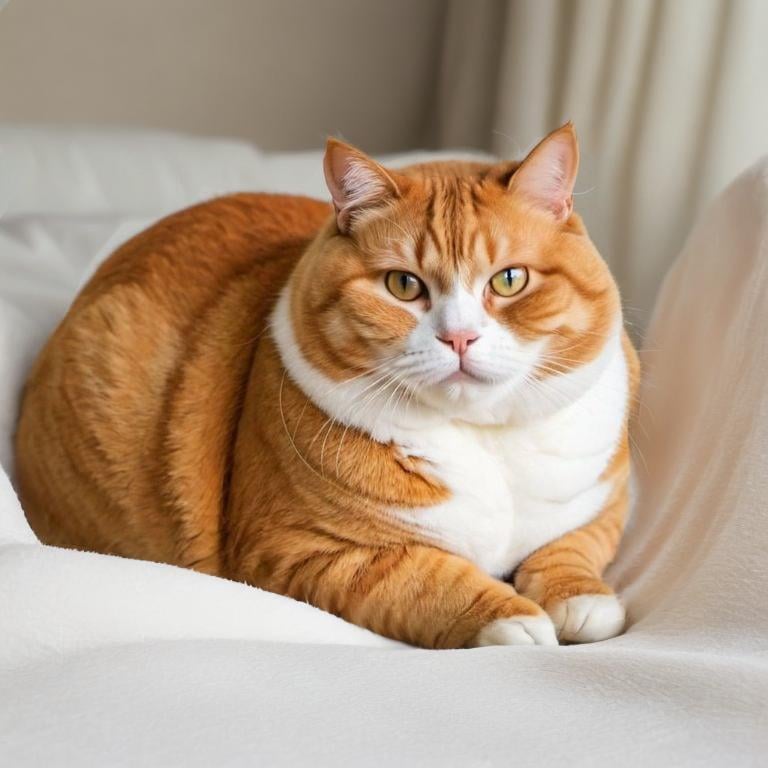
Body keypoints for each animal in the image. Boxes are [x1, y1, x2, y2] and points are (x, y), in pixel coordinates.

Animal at [15, 124, 640, 648]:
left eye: (509, 280)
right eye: (403, 285)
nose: (459, 337)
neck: (484, 443)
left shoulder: (606, 499)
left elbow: (574, 545)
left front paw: (579, 598)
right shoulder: (298, 552)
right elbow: (424, 576)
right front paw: (508, 616)